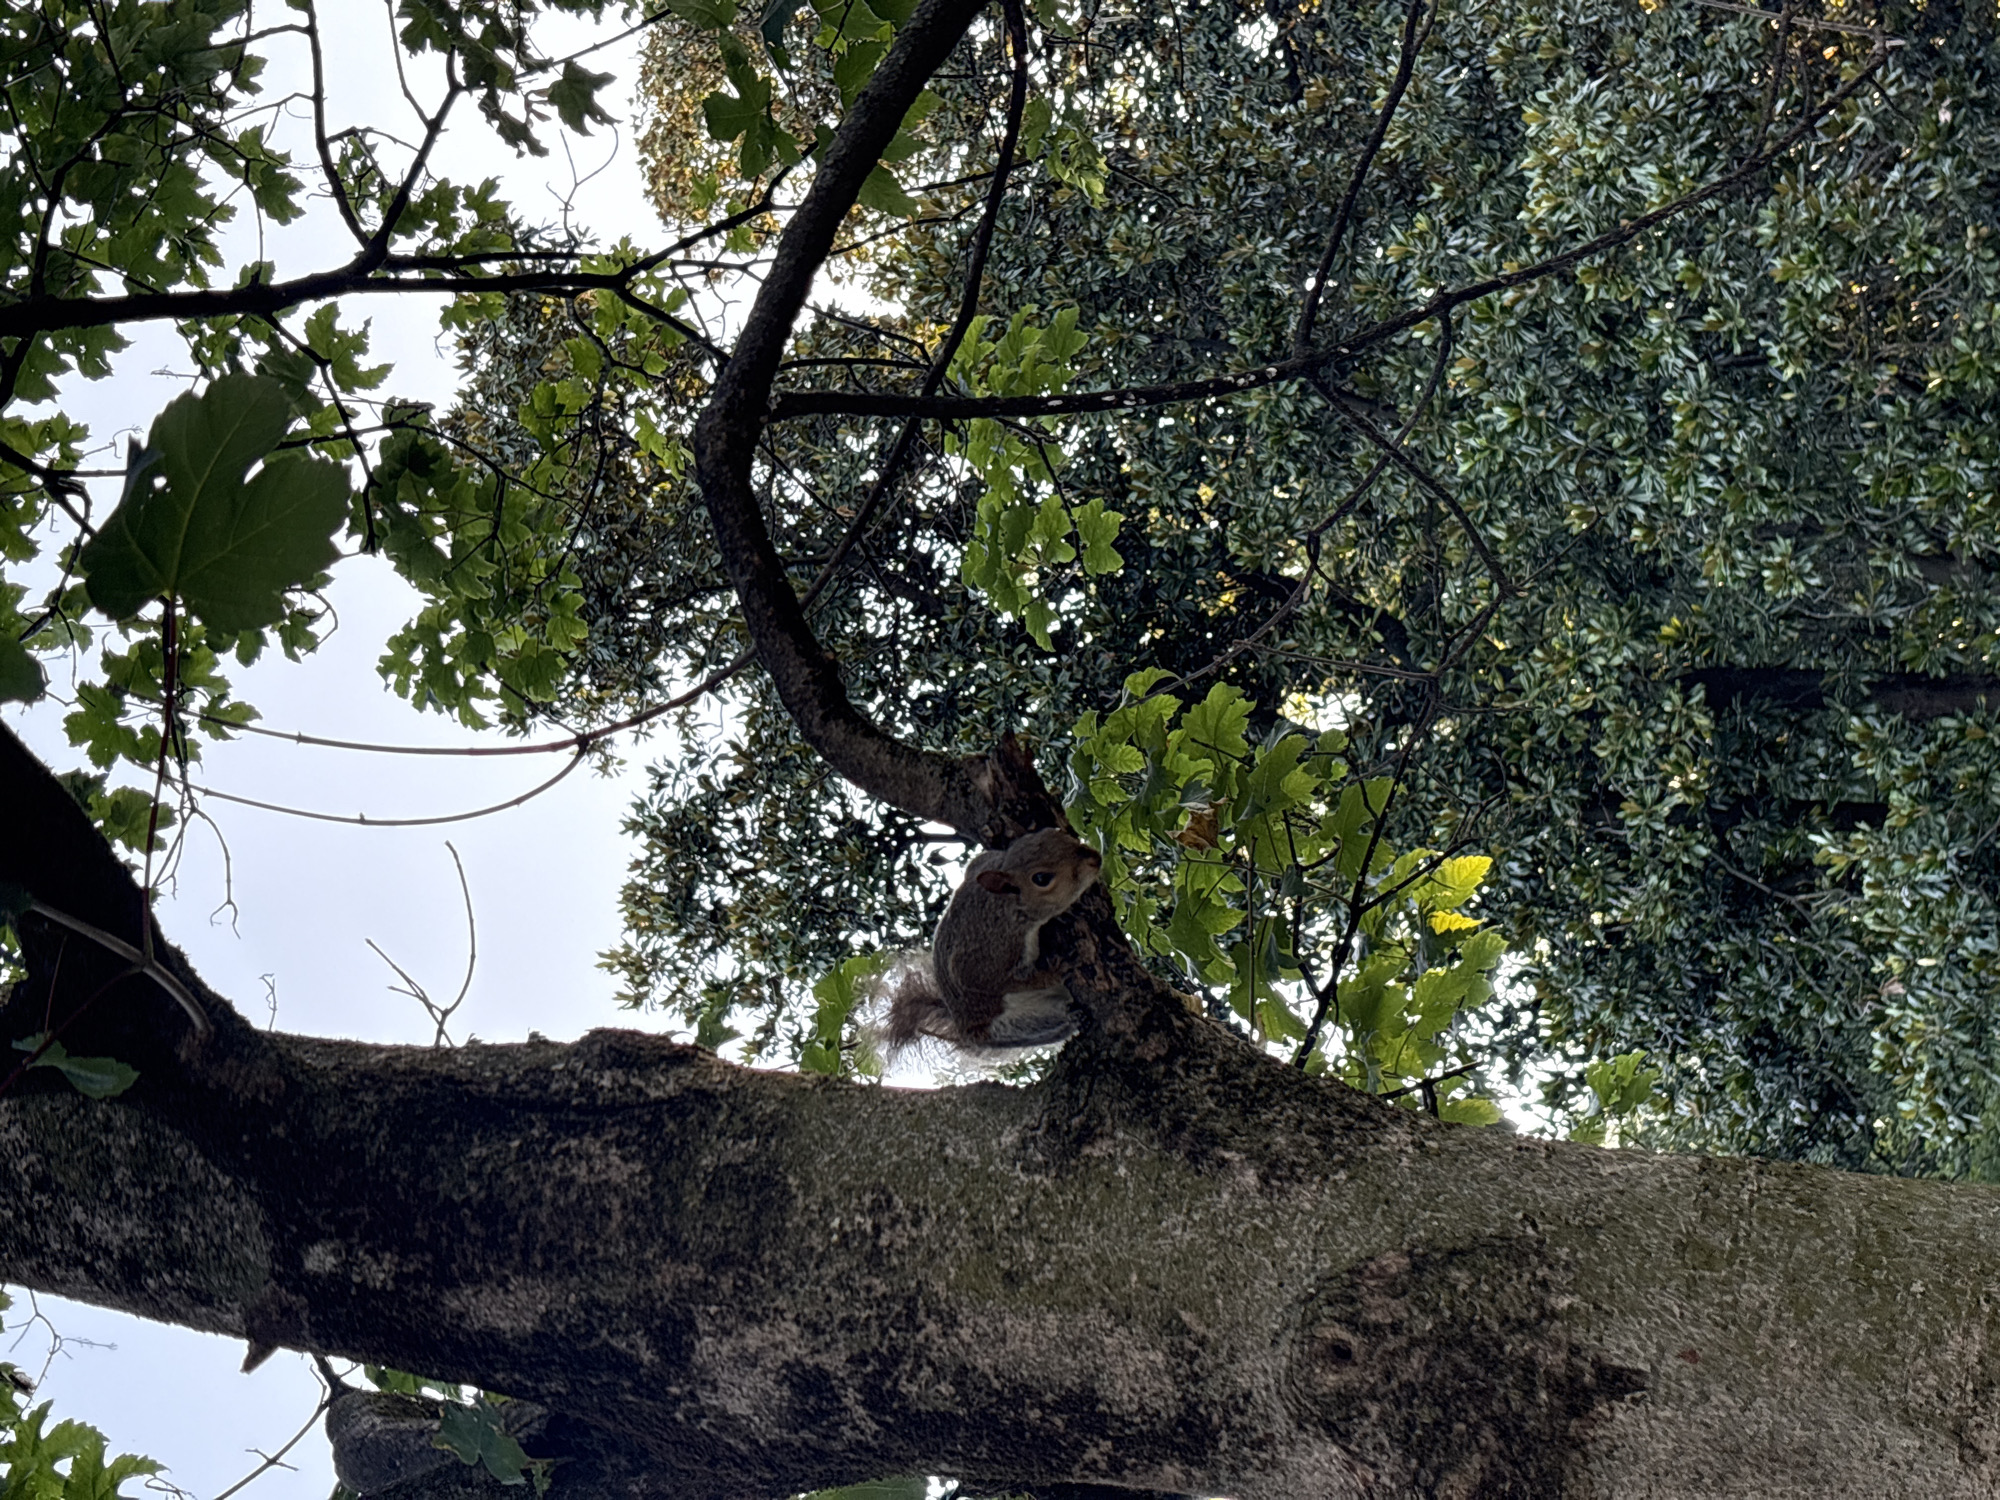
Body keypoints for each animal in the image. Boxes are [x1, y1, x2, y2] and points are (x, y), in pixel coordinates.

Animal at [883, 827, 1104, 1054]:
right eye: (1042, 878)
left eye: (1056, 832)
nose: (1095, 858)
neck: (1002, 905)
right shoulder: (985, 955)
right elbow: (1003, 981)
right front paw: (1056, 972)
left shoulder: (981, 863)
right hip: (1012, 1027)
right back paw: (1072, 1016)